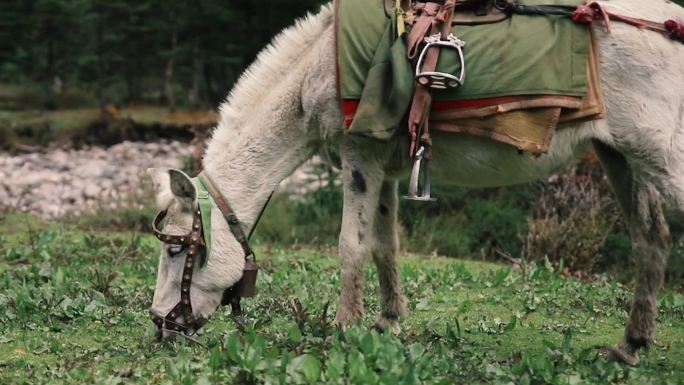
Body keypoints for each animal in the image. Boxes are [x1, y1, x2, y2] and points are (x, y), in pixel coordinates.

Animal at [148, 0, 684, 366]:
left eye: (177, 249)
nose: (161, 328)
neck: (318, 67)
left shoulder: (359, 158)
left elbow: (351, 246)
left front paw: (344, 328)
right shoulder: (384, 167)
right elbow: (385, 245)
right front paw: (386, 320)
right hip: (620, 156)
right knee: (650, 238)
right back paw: (631, 344)